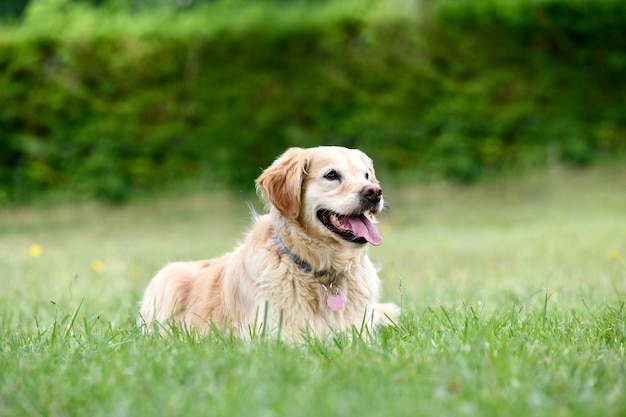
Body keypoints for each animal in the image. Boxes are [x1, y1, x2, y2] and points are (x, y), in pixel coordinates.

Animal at [138, 146, 398, 338]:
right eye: (331, 175)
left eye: (366, 175)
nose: (374, 192)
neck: (322, 272)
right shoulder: (274, 335)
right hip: (166, 280)